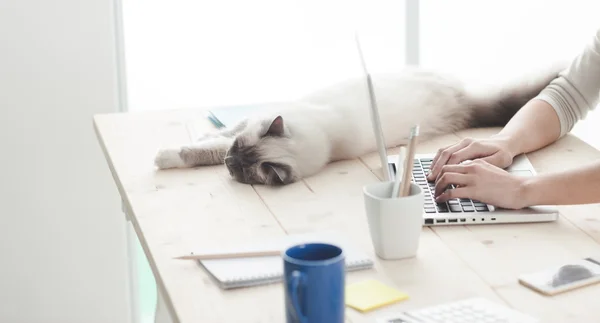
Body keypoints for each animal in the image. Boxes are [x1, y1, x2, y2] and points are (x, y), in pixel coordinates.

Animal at [154, 63, 564, 186]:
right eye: (239, 151)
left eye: (240, 167)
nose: (230, 163)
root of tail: (461, 97)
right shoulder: (244, 125)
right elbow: (220, 133)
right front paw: (206, 134)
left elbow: (202, 150)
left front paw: (165, 156)